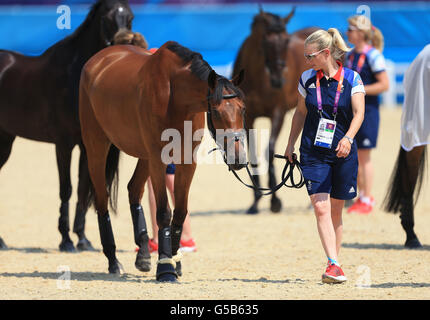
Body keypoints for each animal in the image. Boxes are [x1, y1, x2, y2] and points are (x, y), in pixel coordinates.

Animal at [0, 0, 134, 252]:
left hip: (6, 140)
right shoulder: (63, 144)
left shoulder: (86, 145)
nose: (123, 42)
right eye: (106, 17)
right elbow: (67, 188)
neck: (76, 78)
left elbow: (82, 187)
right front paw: (66, 240)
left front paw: (82, 239)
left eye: (130, 17)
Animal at [77, 41, 245, 282]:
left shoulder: (187, 161)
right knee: (102, 200)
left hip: (144, 156)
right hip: (97, 147)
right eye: (216, 112)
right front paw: (166, 268)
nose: (238, 157)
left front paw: (175, 259)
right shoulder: (158, 159)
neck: (176, 97)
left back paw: (144, 255)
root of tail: (98, 59)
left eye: (243, 109)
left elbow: (180, 212)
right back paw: (113, 261)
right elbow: (164, 212)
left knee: (134, 190)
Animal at [232, 6, 320, 212]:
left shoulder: (277, 114)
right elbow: (253, 152)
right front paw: (256, 200)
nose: (278, 80)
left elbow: (270, 151)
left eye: (287, 40)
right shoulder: (249, 117)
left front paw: (275, 201)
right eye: (266, 40)